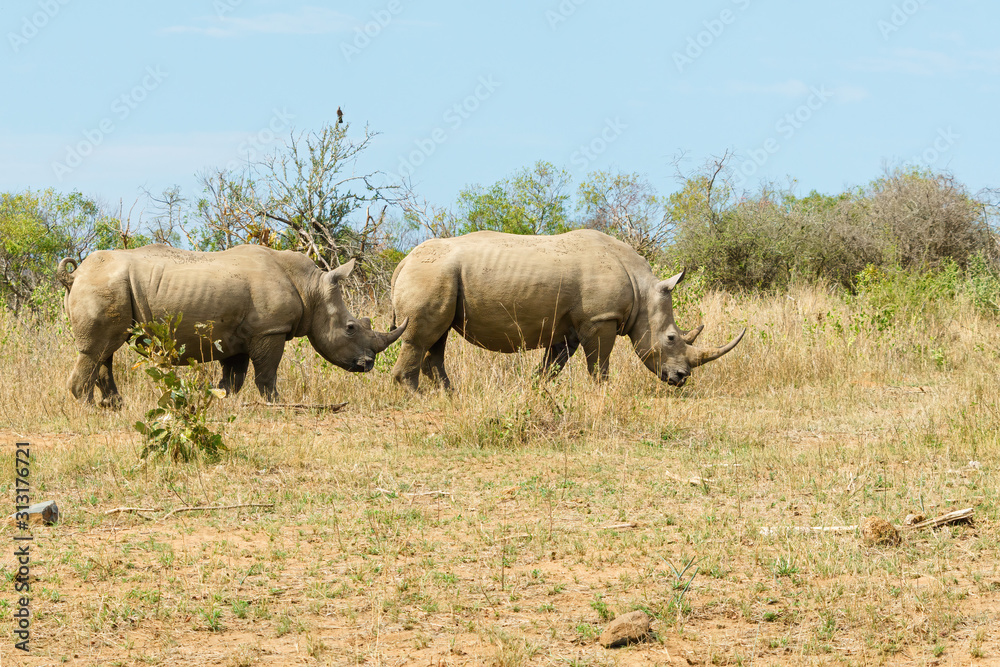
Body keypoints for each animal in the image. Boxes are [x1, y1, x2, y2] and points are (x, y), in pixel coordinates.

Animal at [57, 244, 406, 407]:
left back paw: (113, 407)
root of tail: (74, 275)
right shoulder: (270, 330)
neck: (311, 288)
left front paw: (222, 400)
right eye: (350, 328)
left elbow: (233, 380)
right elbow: (266, 374)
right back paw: (90, 408)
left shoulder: (237, 337)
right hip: (103, 284)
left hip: (108, 285)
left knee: (107, 349)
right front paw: (277, 404)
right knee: (98, 349)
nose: (367, 364)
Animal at [389, 229, 743, 390]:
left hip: (438, 277)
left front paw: (537, 390)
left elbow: (551, 366)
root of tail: (403, 261)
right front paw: (604, 394)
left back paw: (448, 395)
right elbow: (599, 364)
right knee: (422, 337)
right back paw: (419, 397)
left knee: (438, 337)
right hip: (431, 274)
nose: (681, 378)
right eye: (671, 338)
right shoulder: (601, 318)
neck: (642, 290)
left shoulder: (568, 328)